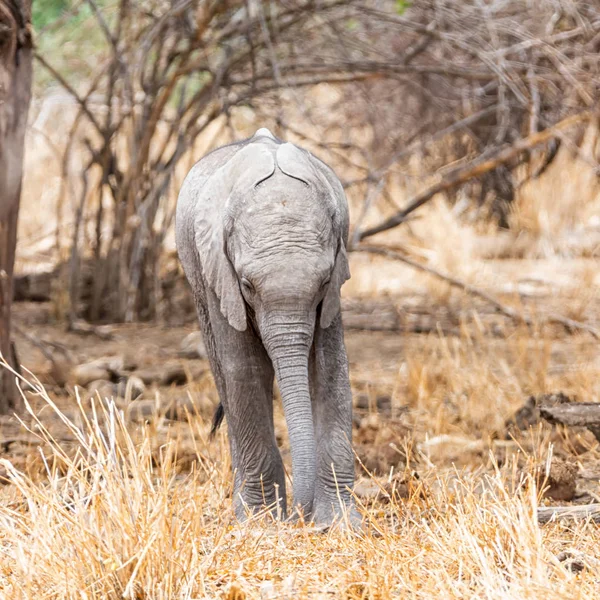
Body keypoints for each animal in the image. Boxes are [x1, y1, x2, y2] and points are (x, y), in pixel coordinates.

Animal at [176, 126, 358, 524]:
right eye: (247, 285)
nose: (300, 517)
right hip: (197, 278)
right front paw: (260, 522)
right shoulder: (220, 272)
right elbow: (246, 369)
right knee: (223, 372)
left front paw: (340, 523)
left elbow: (330, 367)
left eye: (324, 282)